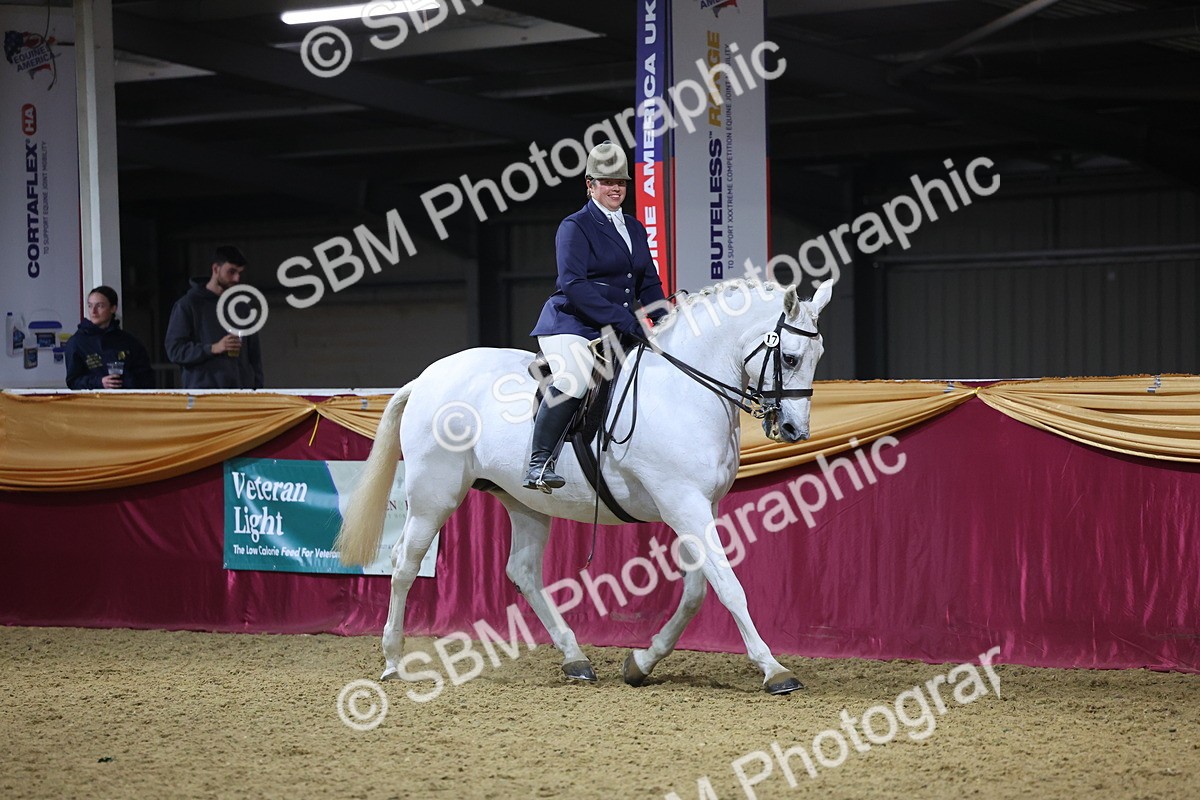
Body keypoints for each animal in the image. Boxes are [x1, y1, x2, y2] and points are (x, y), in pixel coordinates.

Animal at [335, 277, 833, 694]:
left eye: (818, 357)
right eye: (790, 357)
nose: (795, 431)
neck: (685, 390)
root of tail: (425, 379)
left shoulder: (701, 507)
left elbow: (696, 592)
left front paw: (641, 663)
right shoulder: (683, 504)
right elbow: (729, 587)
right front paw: (775, 670)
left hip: (523, 501)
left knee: (523, 571)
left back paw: (575, 658)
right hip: (433, 496)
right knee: (404, 563)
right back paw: (393, 660)